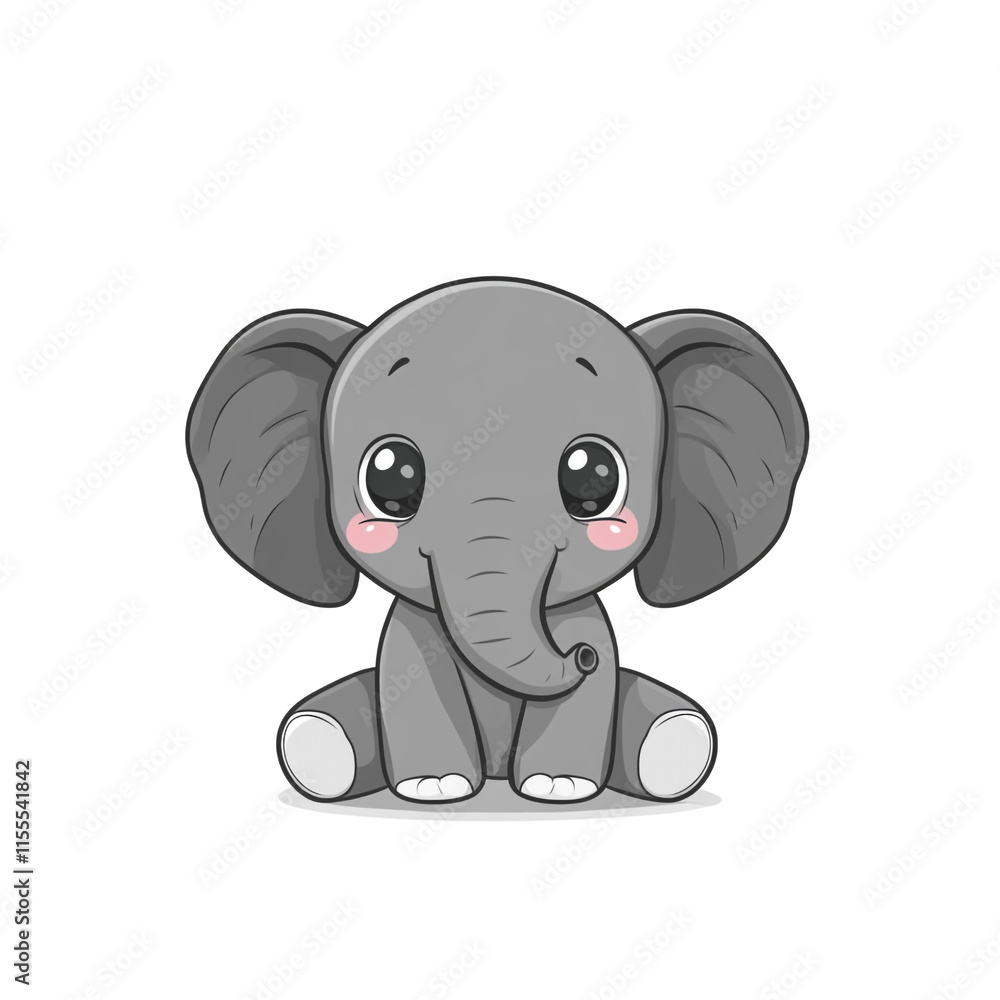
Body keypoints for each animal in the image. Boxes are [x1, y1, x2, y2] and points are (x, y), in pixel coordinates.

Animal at [186, 277, 807, 805]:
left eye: (595, 477)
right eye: (390, 479)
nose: (577, 657)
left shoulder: (586, 621)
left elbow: (594, 682)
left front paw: (558, 787)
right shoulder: (410, 632)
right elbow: (409, 681)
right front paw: (434, 787)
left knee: (675, 734)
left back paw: (673, 743)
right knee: (320, 732)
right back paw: (319, 742)